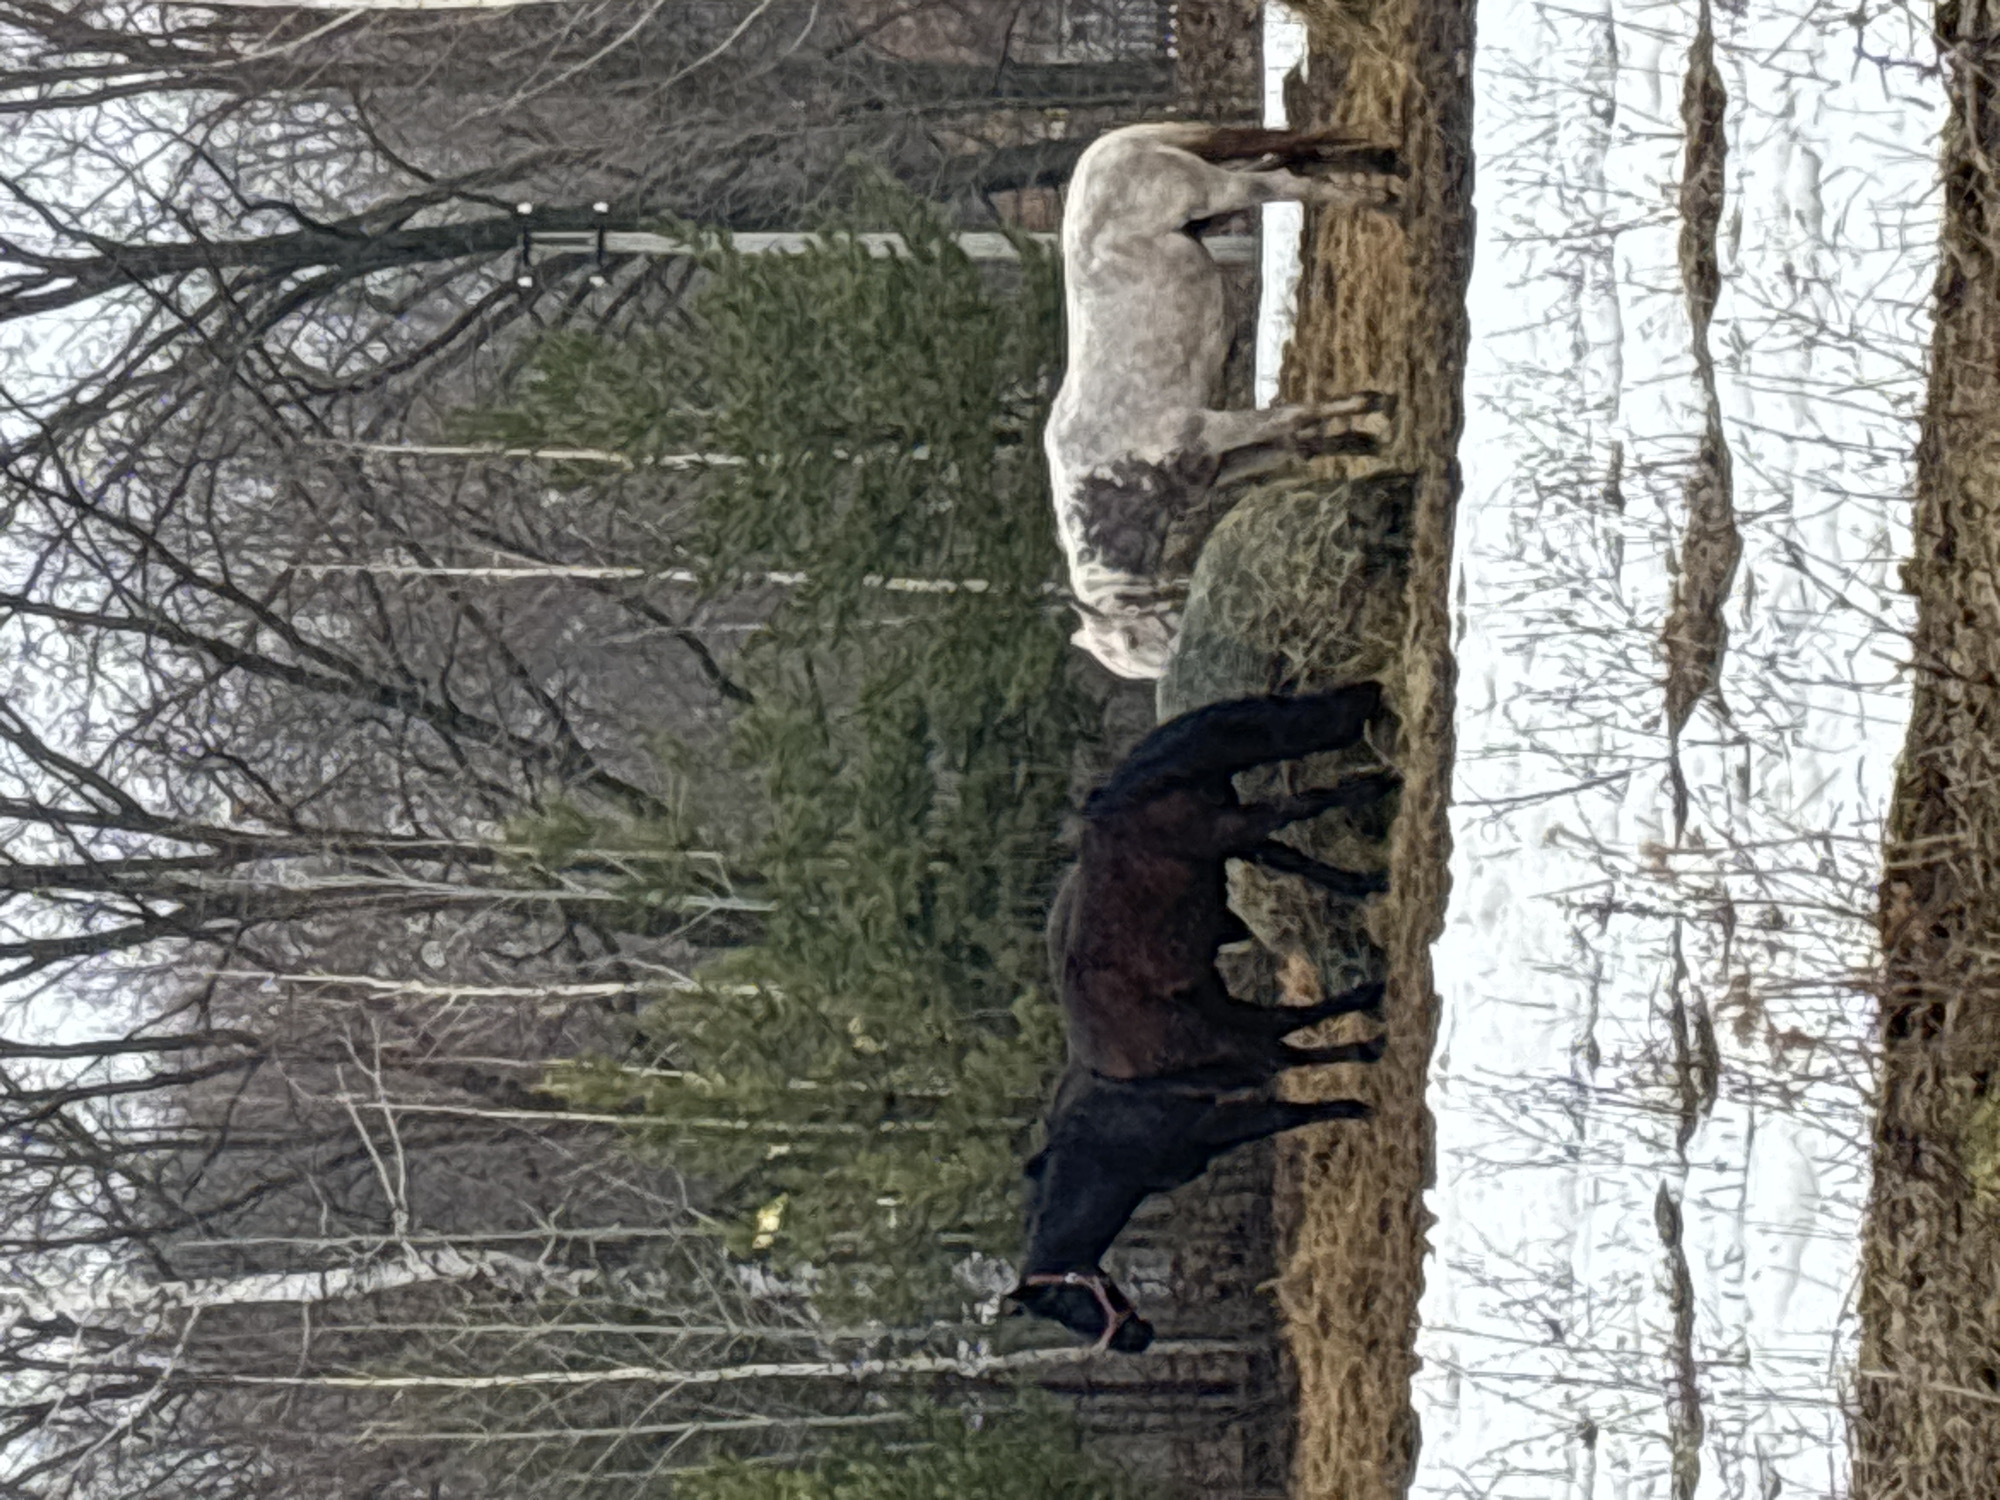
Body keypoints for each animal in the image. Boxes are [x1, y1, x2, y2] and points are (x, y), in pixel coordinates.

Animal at [1045, 123, 1404, 679]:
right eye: (1128, 658)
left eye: (1132, 638)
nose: (1176, 669)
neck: (1110, 471)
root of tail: (1111, 148)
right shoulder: (1217, 464)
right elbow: (1297, 444)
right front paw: (1361, 443)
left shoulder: (1214, 428)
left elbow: (1294, 415)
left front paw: (1376, 406)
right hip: (1219, 183)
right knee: (1292, 152)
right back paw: (1376, 161)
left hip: (1217, 190)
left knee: (1287, 180)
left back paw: (1379, 197)